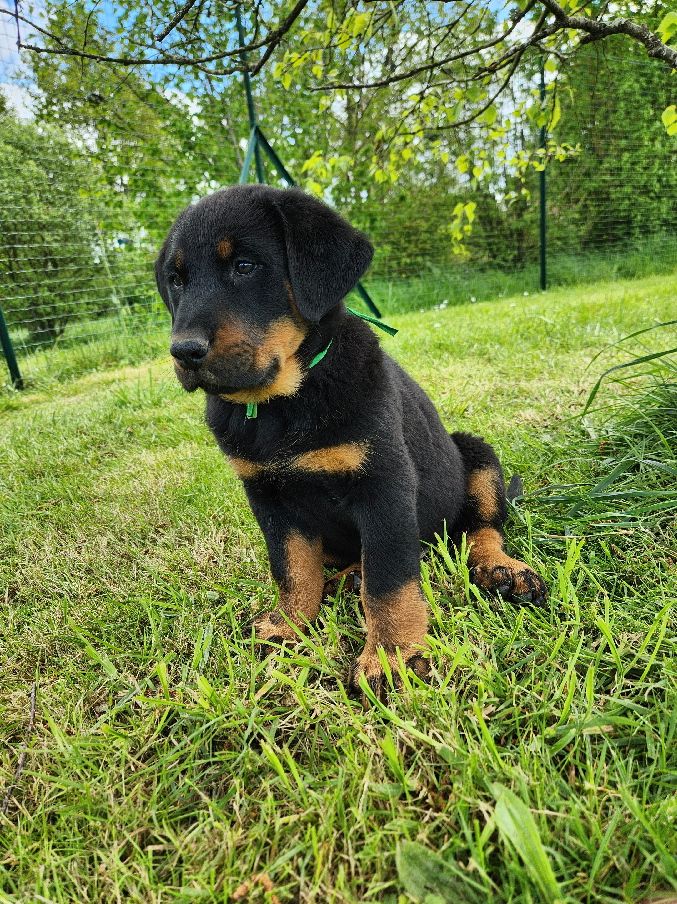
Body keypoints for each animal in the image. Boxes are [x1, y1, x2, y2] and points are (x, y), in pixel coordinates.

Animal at [155, 184, 547, 702]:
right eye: (176, 280)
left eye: (244, 266)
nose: (183, 351)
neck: (285, 402)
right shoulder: (269, 497)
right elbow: (293, 567)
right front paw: (288, 625)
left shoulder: (383, 485)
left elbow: (389, 581)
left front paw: (391, 657)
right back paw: (346, 577)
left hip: (476, 457)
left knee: (479, 530)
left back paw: (503, 570)